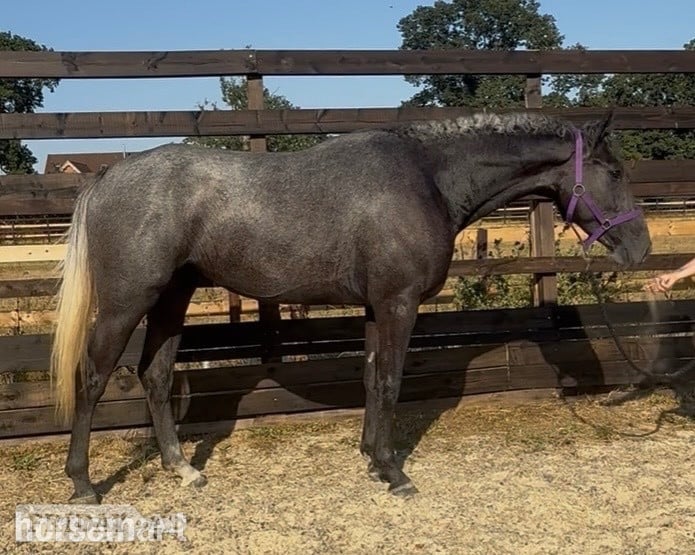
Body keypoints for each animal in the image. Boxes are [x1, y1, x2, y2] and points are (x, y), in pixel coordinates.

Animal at [51, 112, 651, 504]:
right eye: (615, 172)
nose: (640, 248)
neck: (427, 178)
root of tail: (108, 175)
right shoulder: (398, 304)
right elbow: (390, 380)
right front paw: (394, 472)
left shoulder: (373, 307)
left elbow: (369, 377)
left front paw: (370, 459)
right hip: (128, 302)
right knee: (92, 377)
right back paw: (82, 484)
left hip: (172, 298)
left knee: (154, 374)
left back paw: (183, 470)